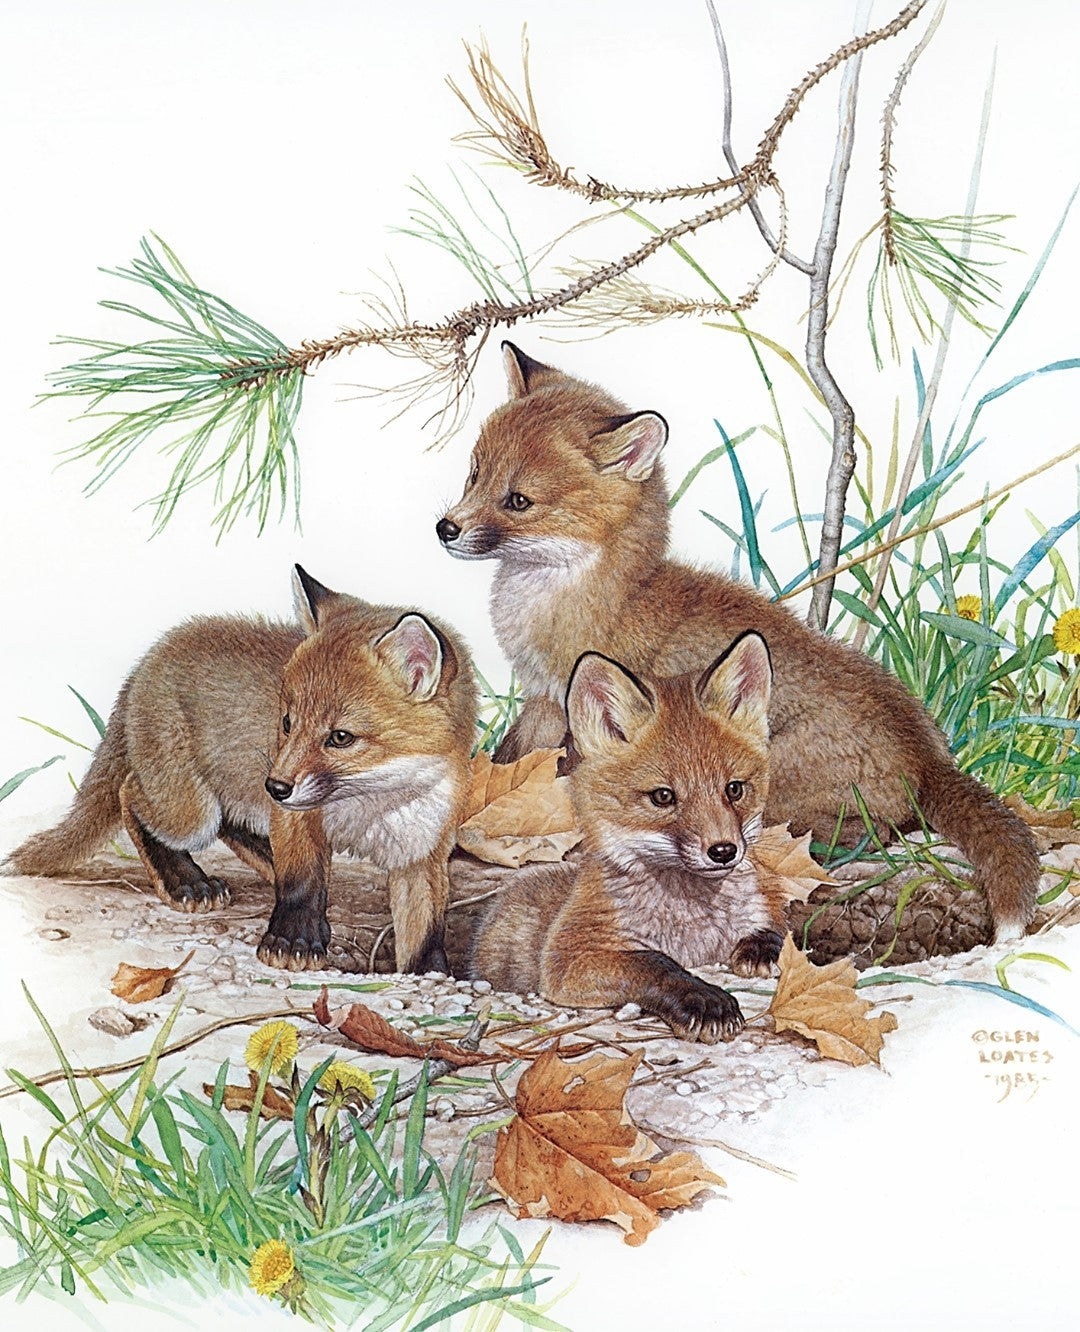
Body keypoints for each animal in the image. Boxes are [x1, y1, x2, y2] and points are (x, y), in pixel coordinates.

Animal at [4, 566, 477, 974]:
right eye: (286, 723)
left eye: (341, 737)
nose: (276, 786)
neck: (373, 804)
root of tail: (148, 661)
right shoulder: (296, 818)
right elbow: (302, 883)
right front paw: (293, 941)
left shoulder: (422, 848)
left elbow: (426, 927)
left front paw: (431, 971)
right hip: (188, 812)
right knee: (130, 794)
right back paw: (186, 882)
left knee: (229, 823)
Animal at [437, 341, 1039, 944]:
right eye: (473, 475)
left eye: (518, 501)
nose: (445, 528)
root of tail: (930, 755)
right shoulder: (541, 697)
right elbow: (506, 759)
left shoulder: (569, 708)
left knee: (853, 832)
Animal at [472, 632, 787, 1042]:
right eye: (663, 796)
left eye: (734, 789)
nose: (723, 850)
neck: (694, 926)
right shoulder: (568, 958)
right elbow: (652, 962)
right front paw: (703, 999)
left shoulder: (766, 906)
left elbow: (781, 931)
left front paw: (761, 948)